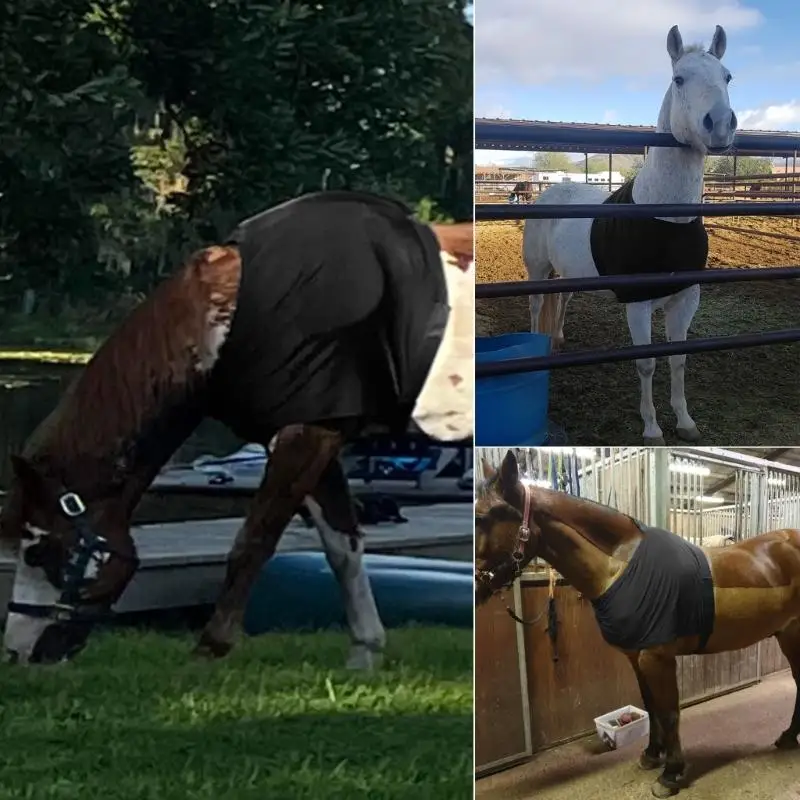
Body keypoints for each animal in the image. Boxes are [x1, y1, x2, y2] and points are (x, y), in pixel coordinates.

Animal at [0, 190, 474, 667]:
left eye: (39, 551)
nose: (18, 652)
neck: (231, 315)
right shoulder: (317, 433)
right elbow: (343, 546)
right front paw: (364, 653)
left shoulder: (304, 433)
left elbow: (253, 542)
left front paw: (210, 648)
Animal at [475, 450, 800, 798]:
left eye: (483, 516)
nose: (472, 588)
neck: (621, 565)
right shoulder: (636, 656)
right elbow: (650, 705)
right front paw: (652, 755)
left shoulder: (657, 657)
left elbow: (669, 713)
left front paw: (671, 774)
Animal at [523, 25, 737, 445]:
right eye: (679, 78)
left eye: (727, 77)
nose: (720, 124)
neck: (667, 219)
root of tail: (552, 192)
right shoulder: (637, 304)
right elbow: (646, 364)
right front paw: (652, 428)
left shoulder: (686, 298)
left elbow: (678, 360)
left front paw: (685, 422)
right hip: (537, 270)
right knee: (537, 305)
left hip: (568, 273)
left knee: (563, 300)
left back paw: (557, 340)